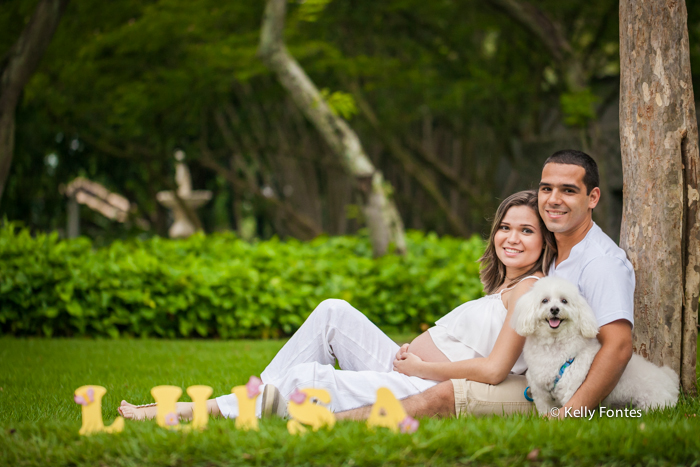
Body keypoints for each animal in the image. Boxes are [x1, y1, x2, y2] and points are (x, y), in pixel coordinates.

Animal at [516, 276, 680, 414]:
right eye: (545, 300)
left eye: (564, 301)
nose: (554, 309)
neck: (554, 344)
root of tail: (670, 380)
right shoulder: (540, 393)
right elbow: (544, 410)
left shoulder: (572, 388)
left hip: (653, 404)